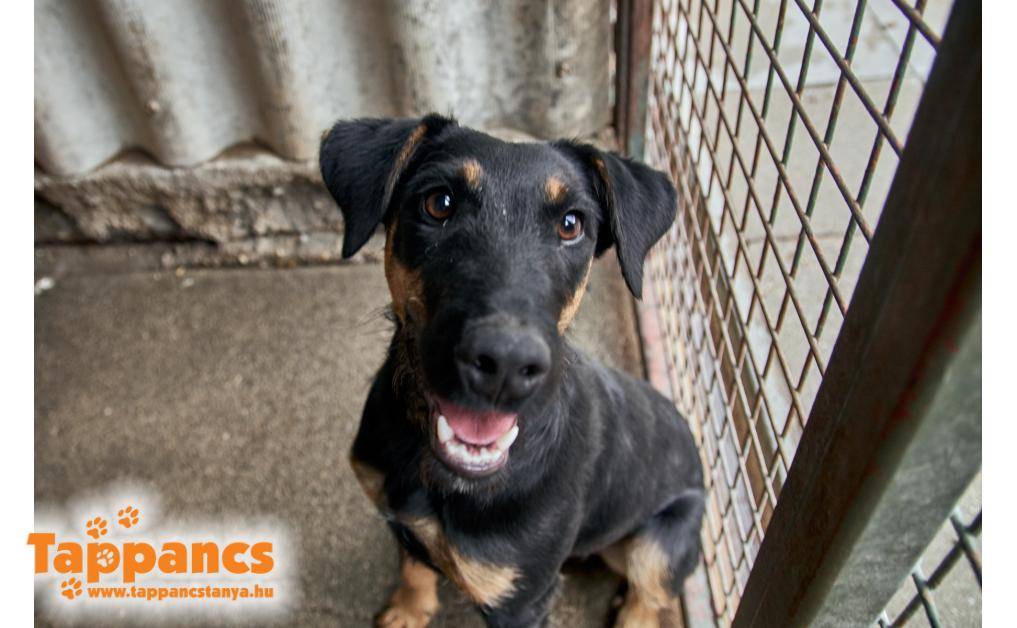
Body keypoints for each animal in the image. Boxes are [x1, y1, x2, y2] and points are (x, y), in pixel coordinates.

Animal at [320, 114, 704, 628]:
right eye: (439, 203)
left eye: (571, 224)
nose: (505, 364)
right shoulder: (399, 518)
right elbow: (413, 568)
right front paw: (408, 610)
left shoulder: (521, 599)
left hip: (661, 543)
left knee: (647, 600)